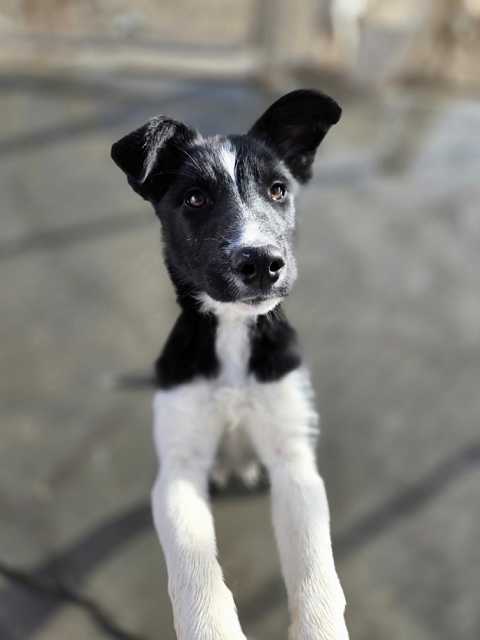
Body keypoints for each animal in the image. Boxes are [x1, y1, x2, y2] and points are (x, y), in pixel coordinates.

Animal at [111, 89, 349, 640]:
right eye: (195, 199)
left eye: (278, 190)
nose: (261, 262)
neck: (234, 333)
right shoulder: (179, 468)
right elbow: (193, 565)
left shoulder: (293, 460)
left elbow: (314, 564)